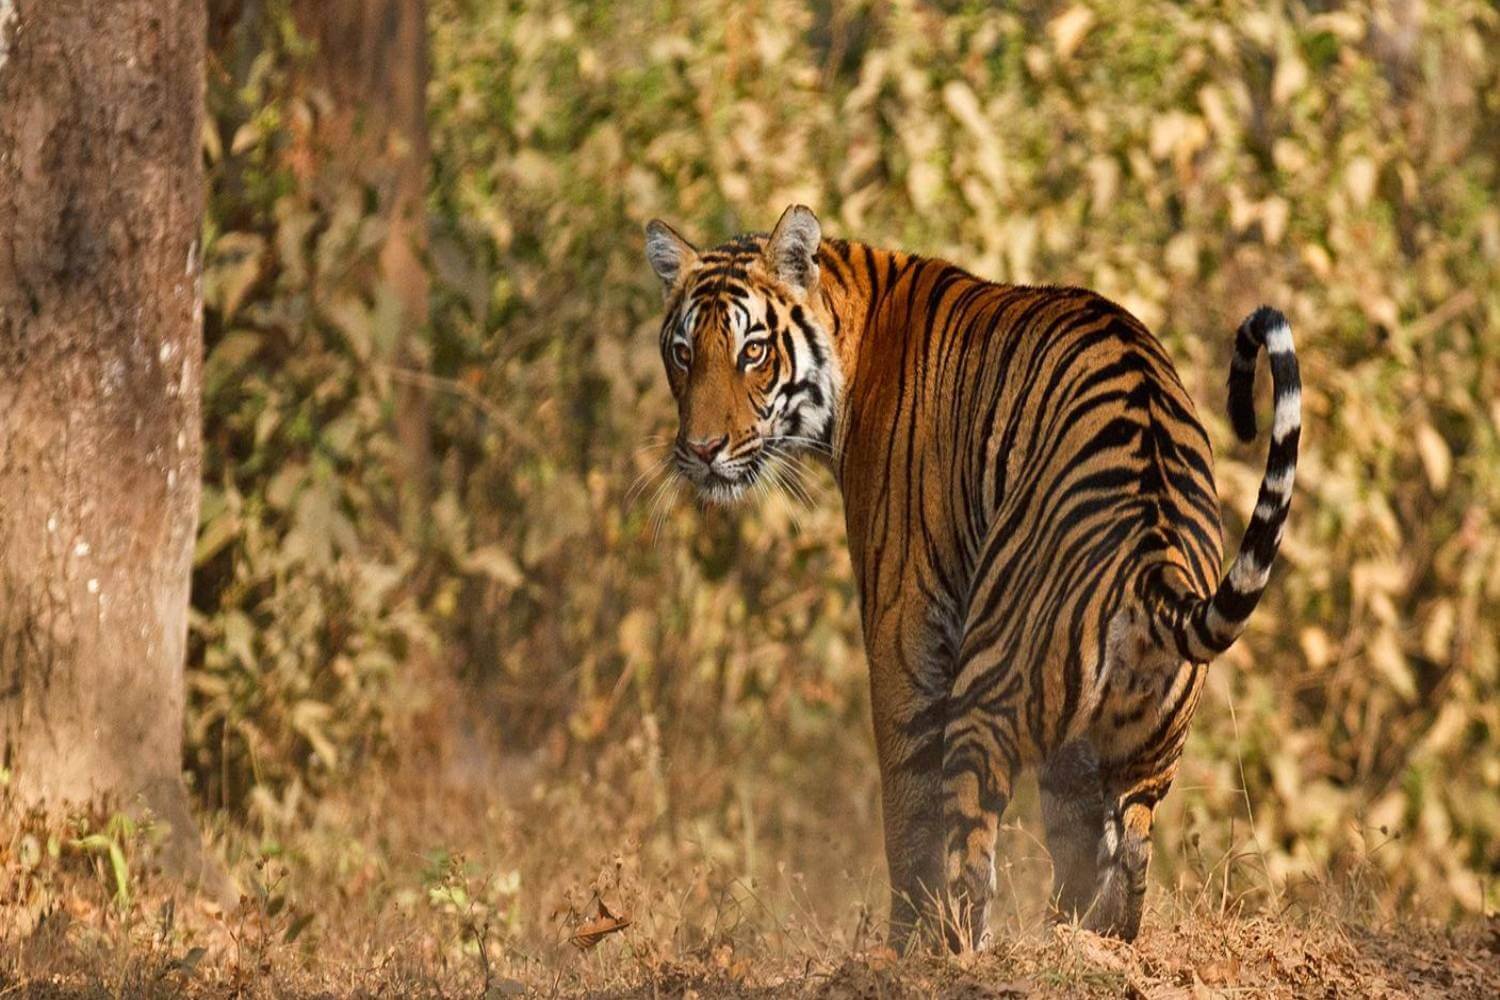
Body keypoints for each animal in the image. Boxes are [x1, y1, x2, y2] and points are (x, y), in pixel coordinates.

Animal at [645, 203, 1302, 953]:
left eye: (752, 351)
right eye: (683, 352)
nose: (700, 451)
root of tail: (1153, 563)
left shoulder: (902, 622)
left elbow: (908, 810)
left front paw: (901, 944)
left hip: (987, 692)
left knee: (973, 860)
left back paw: (956, 951)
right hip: (1138, 746)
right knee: (1122, 855)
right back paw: (1083, 939)